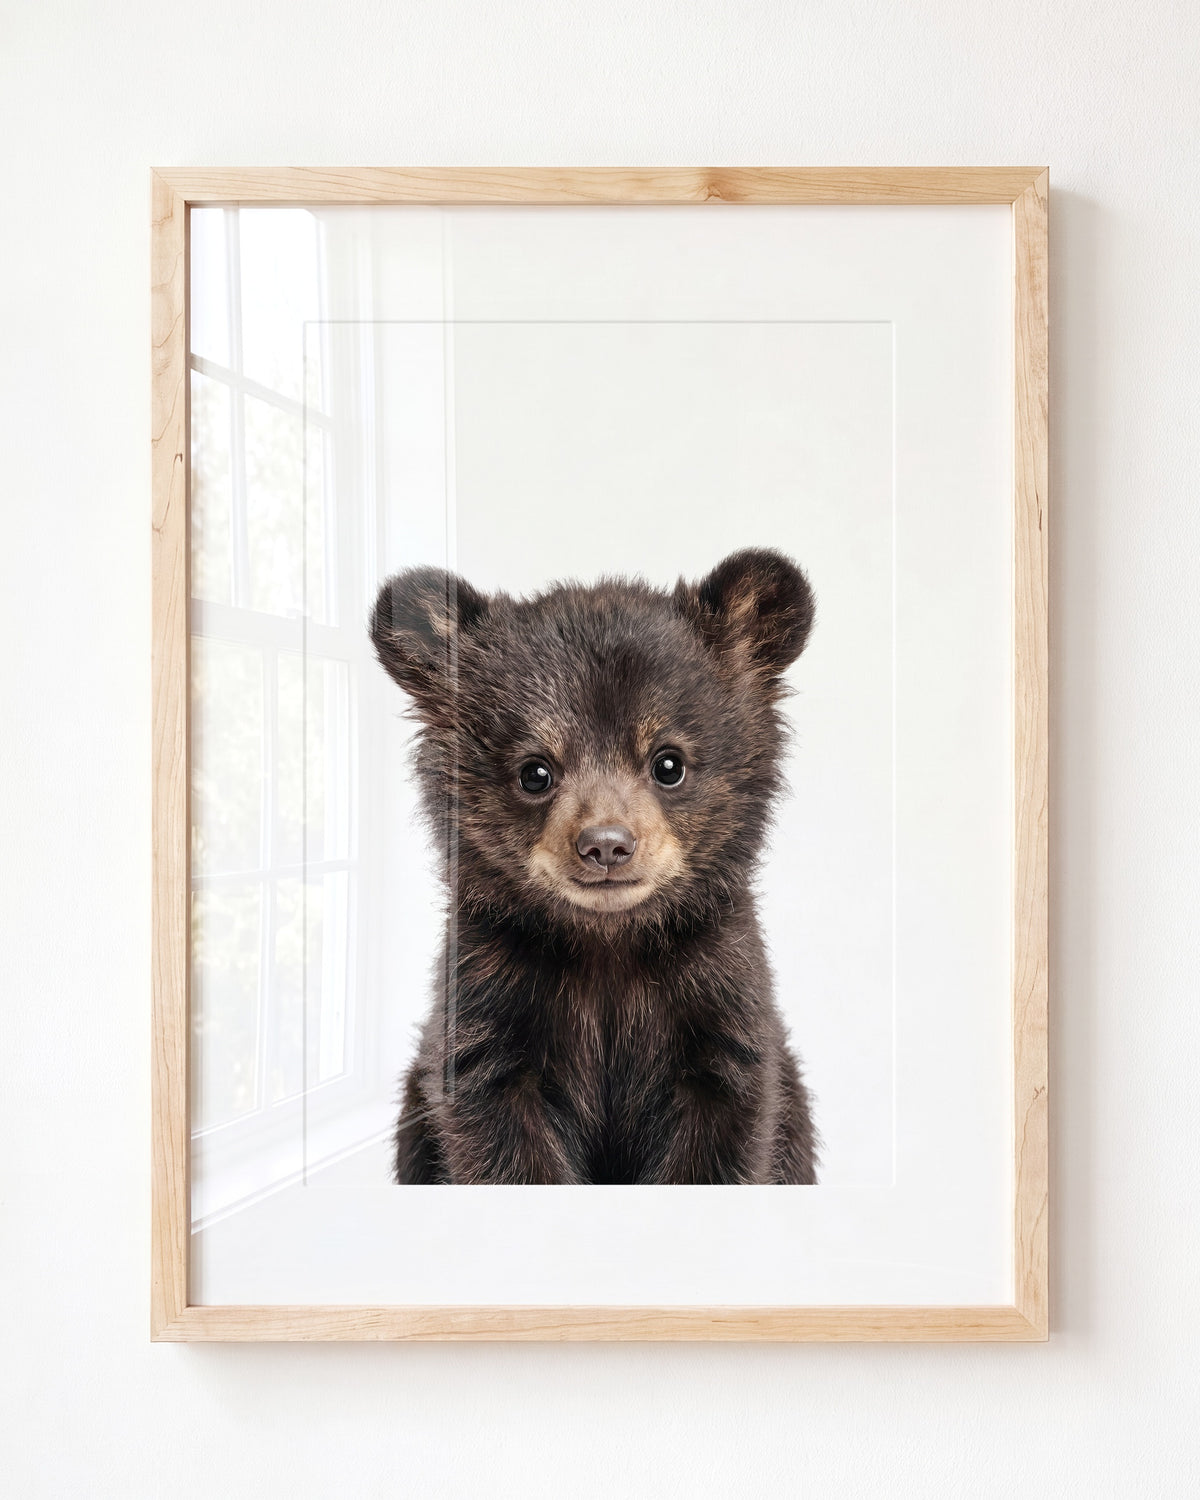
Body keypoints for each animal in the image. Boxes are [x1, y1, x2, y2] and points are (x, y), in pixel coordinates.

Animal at [369, 548, 820, 1185]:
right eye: (535, 771)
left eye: (669, 763)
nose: (606, 845)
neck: (608, 945)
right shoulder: (486, 1003)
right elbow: (499, 1138)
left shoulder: (720, 999)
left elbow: (723, 1136)